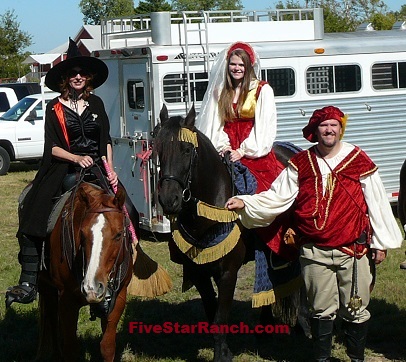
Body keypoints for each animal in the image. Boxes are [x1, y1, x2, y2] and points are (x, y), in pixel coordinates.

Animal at [36, 184, 132, 362]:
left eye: (118, 235)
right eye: (82, 234)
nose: (92, 287)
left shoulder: (119, 297)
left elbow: (107, 346)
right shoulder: (66, 300)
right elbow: (71, 348)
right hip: (45, 286)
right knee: (52, 317)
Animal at [155, 103, 302, 360]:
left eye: (186, 150)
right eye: (159, 150)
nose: (169, 200)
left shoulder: (228, 272)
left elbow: (220, 317)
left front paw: (222, 354)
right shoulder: (199, 272)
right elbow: (212, 313)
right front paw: (223, 350)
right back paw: (265, 328)